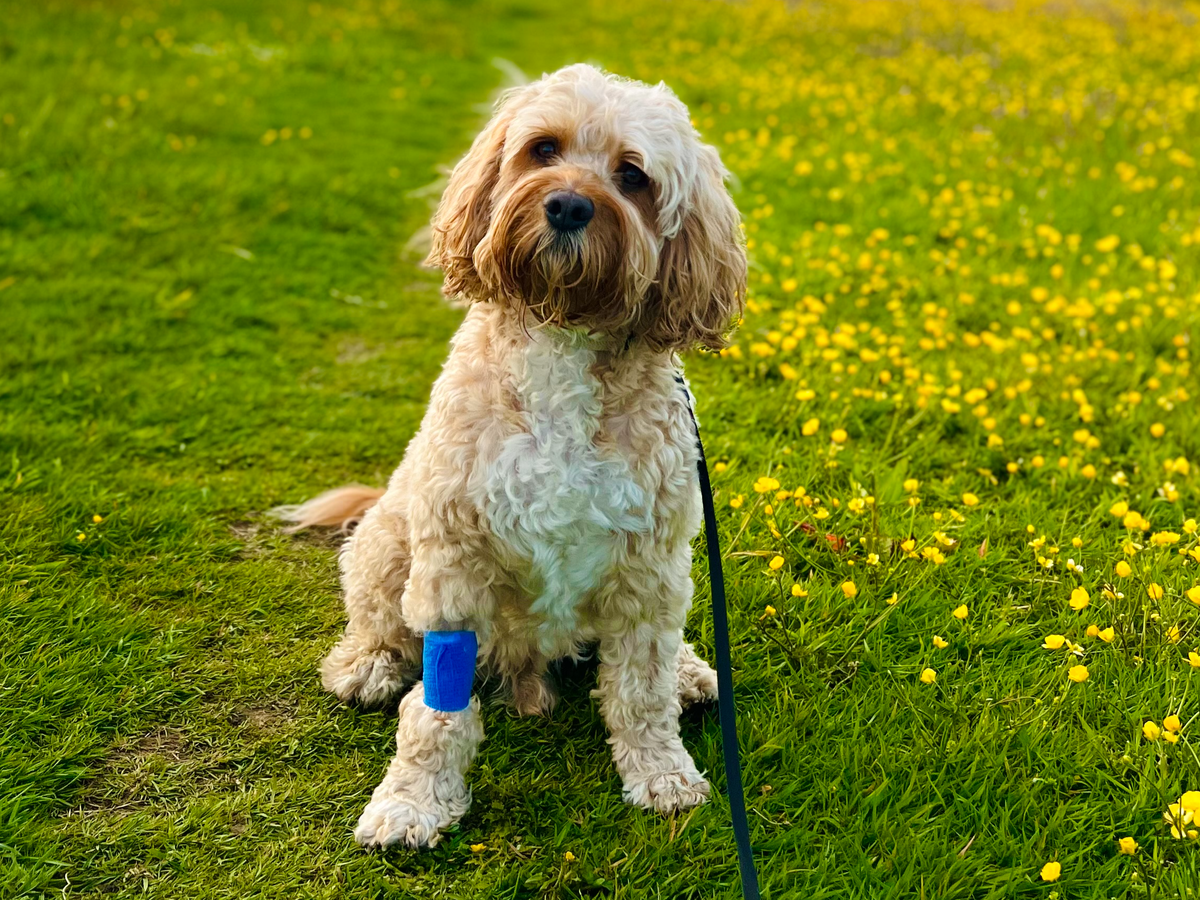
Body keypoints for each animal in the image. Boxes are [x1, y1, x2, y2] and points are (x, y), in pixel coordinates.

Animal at [277, 63, 746, 848]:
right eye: (543, 148)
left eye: (633, 176)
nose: (568, 205)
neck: (562, 338)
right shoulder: (452, 559)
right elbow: (435, 712)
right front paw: (413, 798)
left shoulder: (650, 560)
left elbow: (640, 688)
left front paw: (661, 771)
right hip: (387, 542)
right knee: (375, 616)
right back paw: (366, 663)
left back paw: (687, 669)